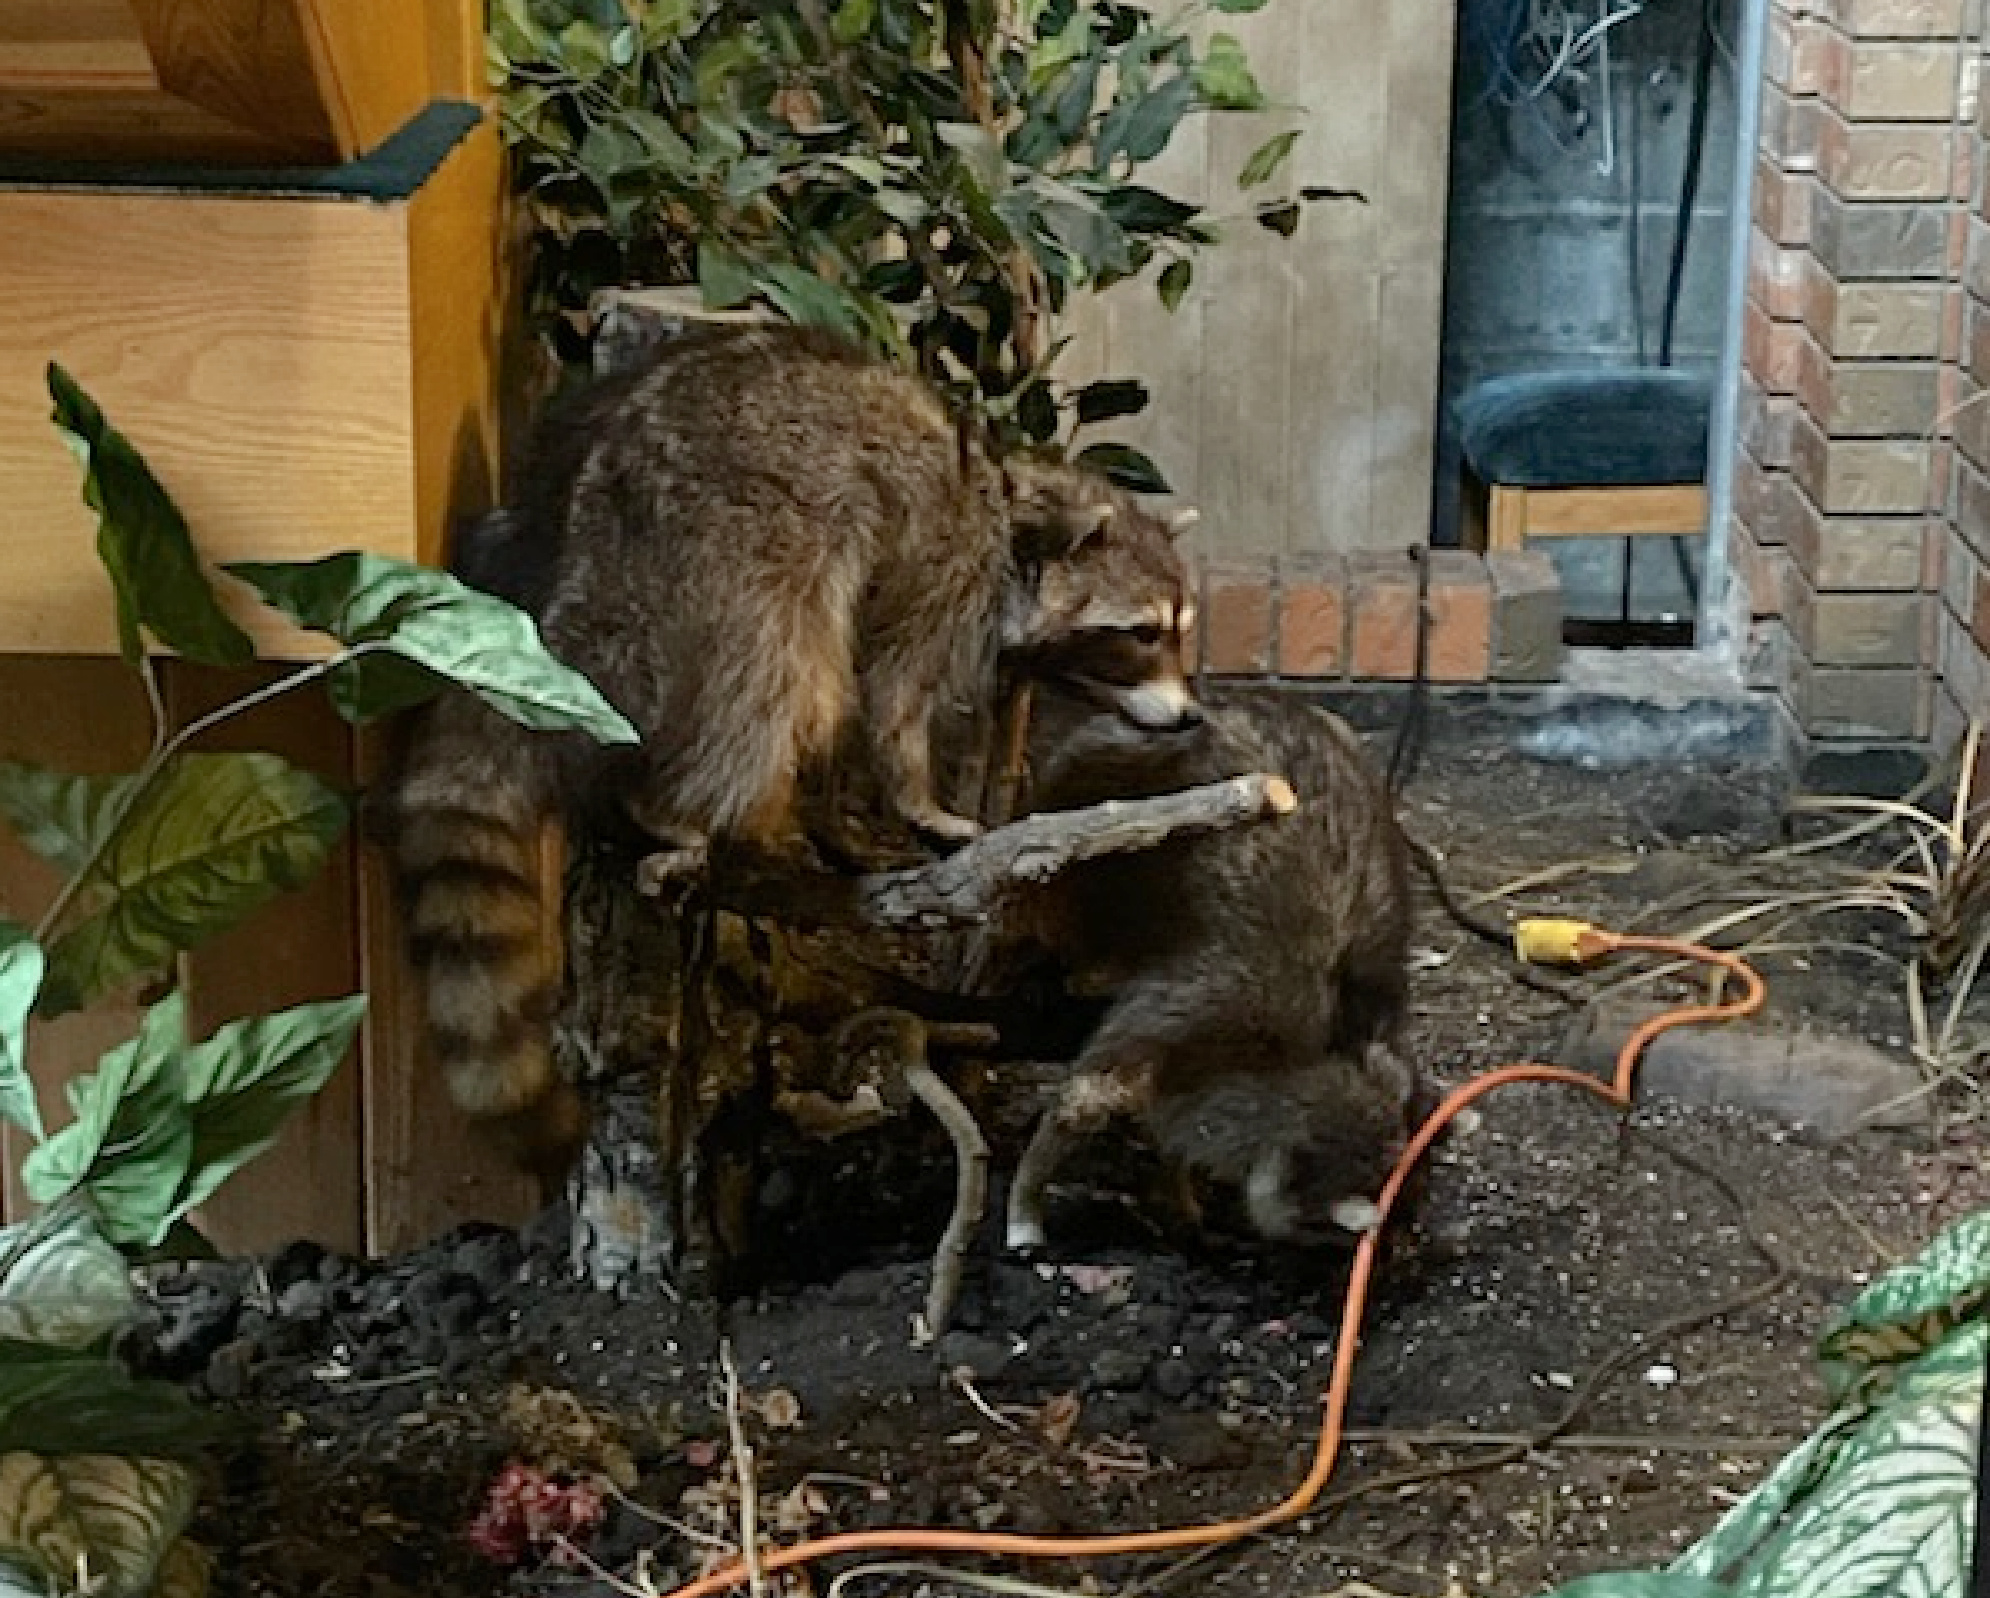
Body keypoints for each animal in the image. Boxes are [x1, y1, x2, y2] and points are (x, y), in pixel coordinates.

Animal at [386, 323, 1197, 1175]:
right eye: (1143, 635)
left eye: (1179, 631)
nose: (1189, 717)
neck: (1011, 505)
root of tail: (571, 560)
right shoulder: (944, 573)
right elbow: (893, 695)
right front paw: (917, 797)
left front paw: (839, 823)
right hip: (730, 557)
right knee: (780, 683)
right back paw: (675, 806)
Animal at [1003, 686, 1434, 1253]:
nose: (1403, 1251)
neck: (1322, 1060)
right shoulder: (1208, 1005)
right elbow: (1090, 1095)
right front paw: (1028, 1192)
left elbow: (1177, 1117)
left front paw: (1176, 1181)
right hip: (1109, 776)